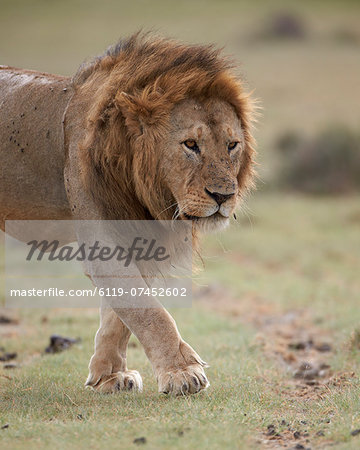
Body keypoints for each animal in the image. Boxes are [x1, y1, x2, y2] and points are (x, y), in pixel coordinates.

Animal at [0, 33, 255, 396]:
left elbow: (120, 315)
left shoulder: (139, 238)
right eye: (190, 145)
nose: (223, 196)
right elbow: (150, 312)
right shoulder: (102, 240)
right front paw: (182, 372)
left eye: (232, 145)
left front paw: (109, 375)